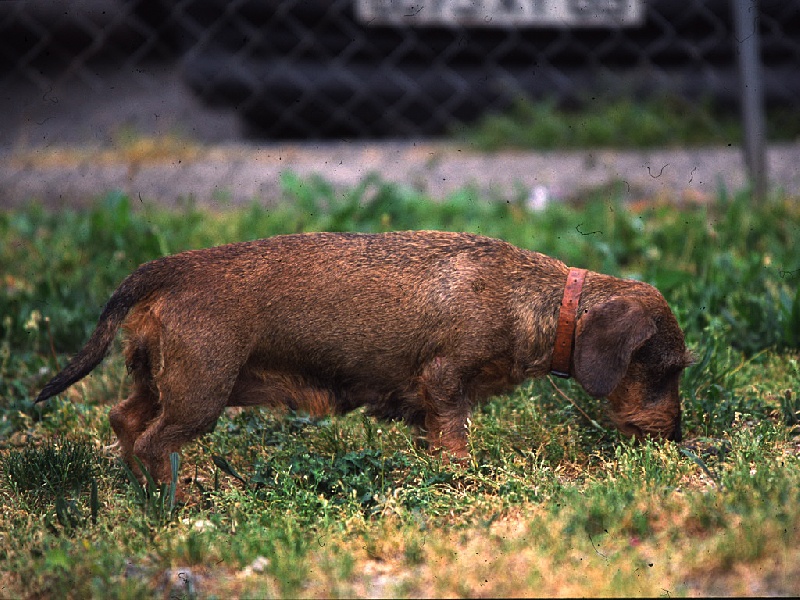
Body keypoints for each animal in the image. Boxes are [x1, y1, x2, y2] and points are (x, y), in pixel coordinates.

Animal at [34, 231, 692, 482]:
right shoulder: (446, 380)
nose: (677, 436)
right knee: (152, 442)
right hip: (201, 395)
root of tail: (167, 269)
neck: (538, 298)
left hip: (158, 383)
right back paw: (179, 499)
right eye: (666, 369)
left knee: (123, 419)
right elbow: (455, 439)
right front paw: (464, 481)